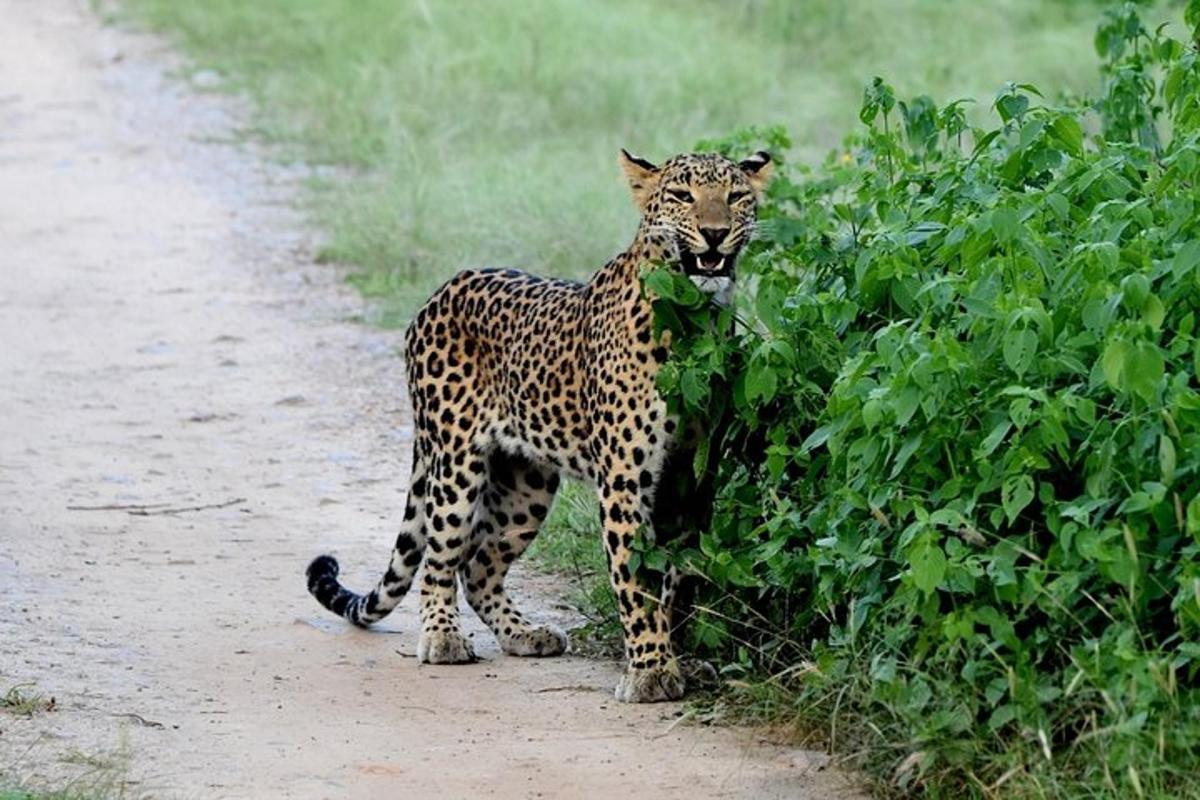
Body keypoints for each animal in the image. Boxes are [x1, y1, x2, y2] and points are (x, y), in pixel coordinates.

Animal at [307, 148, 768, 700]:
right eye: (682, 195)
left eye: (735, 196)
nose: (715, 233)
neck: (695, 321)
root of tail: (442, 289)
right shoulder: (624, 480)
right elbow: (635, 581)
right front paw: (651, 670)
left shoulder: (691, 478)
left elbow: (679, 577)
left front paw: (681, 658)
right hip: (455, 462)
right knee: (441, 556)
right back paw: (442, 637)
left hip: (526, 485)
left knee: (478, 566)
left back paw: (522, 633)